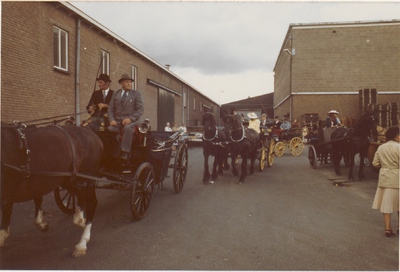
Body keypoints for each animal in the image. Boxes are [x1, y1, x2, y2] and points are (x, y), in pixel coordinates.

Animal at [0, 123, 103, 258]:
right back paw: (80, 219)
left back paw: (82, 243)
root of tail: (92, 133)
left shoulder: (8, 195)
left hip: (86, 178)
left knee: (91, 203)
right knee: (81, 199)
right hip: (70, 180)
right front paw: (43, 224)